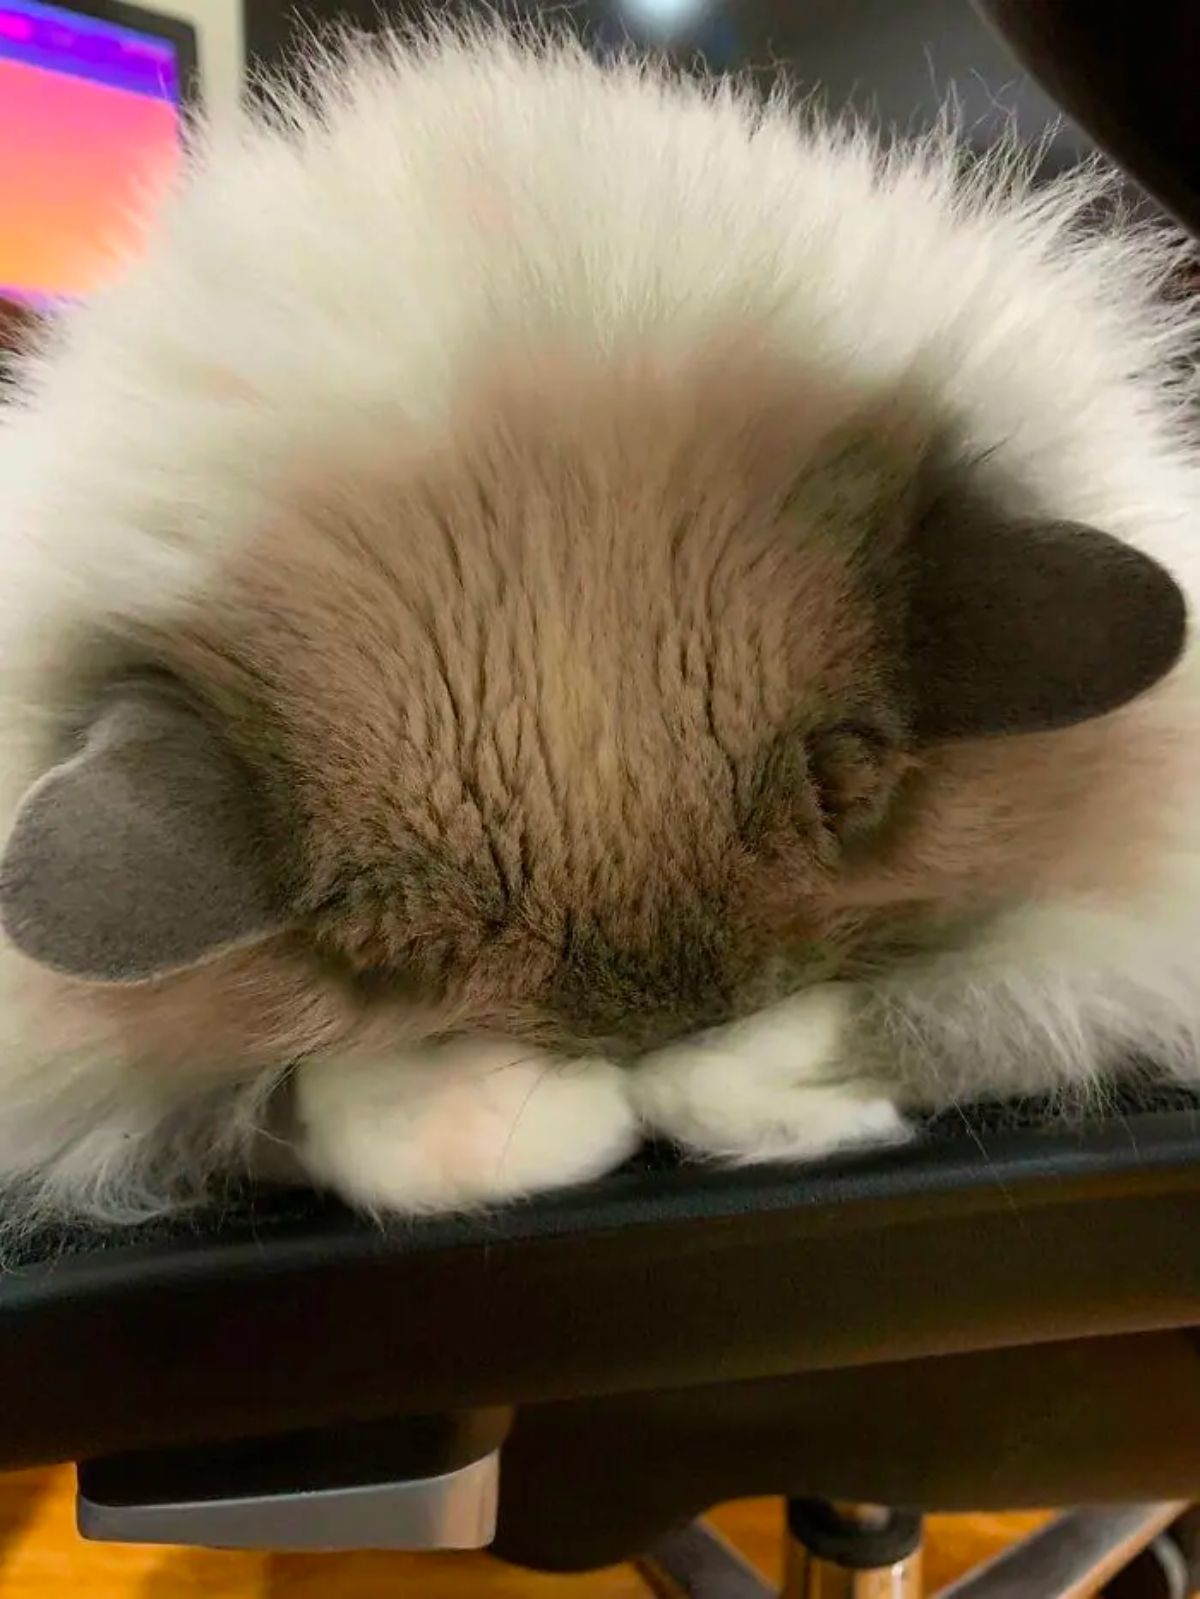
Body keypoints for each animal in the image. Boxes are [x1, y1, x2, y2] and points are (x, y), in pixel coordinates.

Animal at [0, 24, 1196, 1228]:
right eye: (389, 949)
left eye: (847, 790)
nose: (658, 1031)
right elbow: (318, 1109)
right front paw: (550, 1114)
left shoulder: (1122, 944)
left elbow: (929, 1016)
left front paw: (712, 1087)